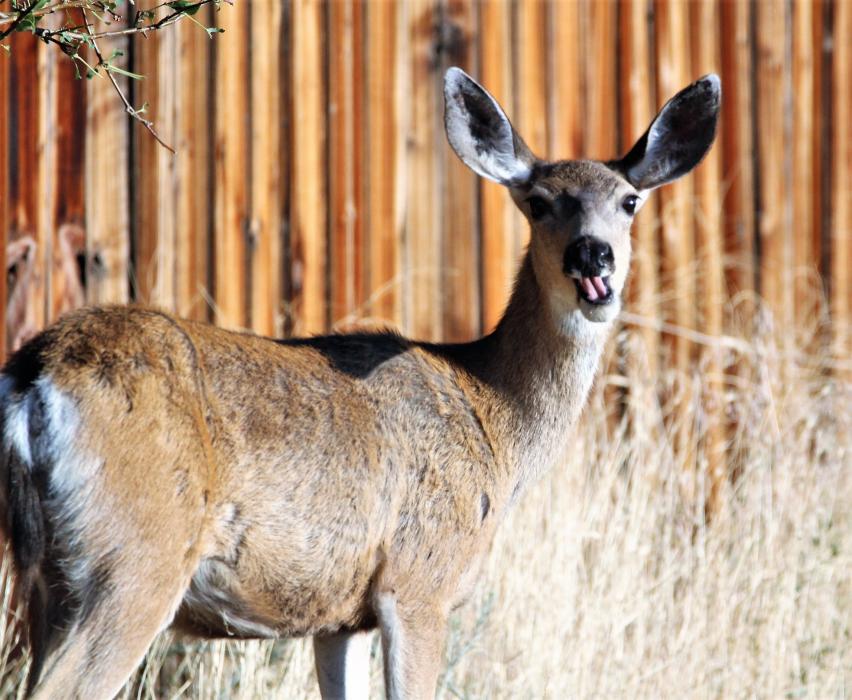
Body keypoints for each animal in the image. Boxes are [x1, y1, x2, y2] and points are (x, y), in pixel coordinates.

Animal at [0, 68, 719, 699]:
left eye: (629, 202)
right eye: (539, 203)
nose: (592, 255)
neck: (494, 418)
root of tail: (34, 374)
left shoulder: (340, 615)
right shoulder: (419, 579)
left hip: (50, 576)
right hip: (134, 554)